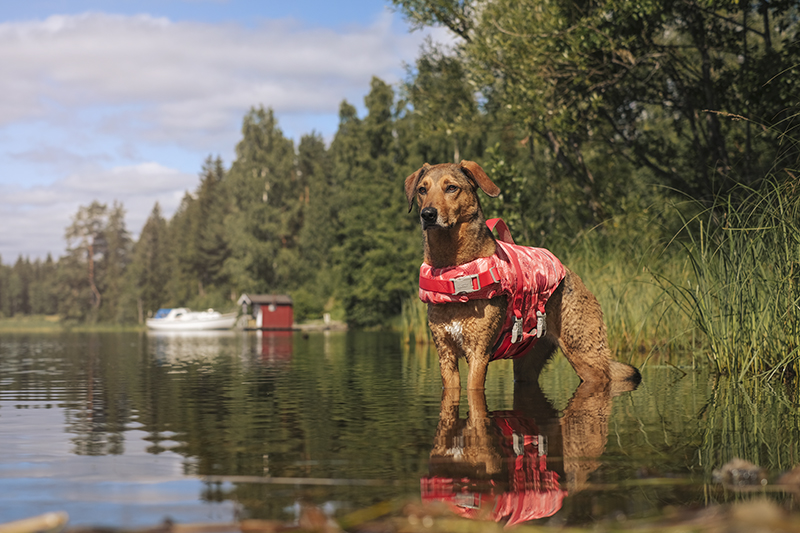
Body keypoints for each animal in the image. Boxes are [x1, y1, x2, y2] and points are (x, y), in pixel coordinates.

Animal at [404, 160, 640, 388]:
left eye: (452, 187)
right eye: (422, 190)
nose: (427, 214)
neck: (454, 268)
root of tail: (573, 275)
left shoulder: (478, 354)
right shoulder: (446, 355)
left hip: (586, 356)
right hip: (526, 365)